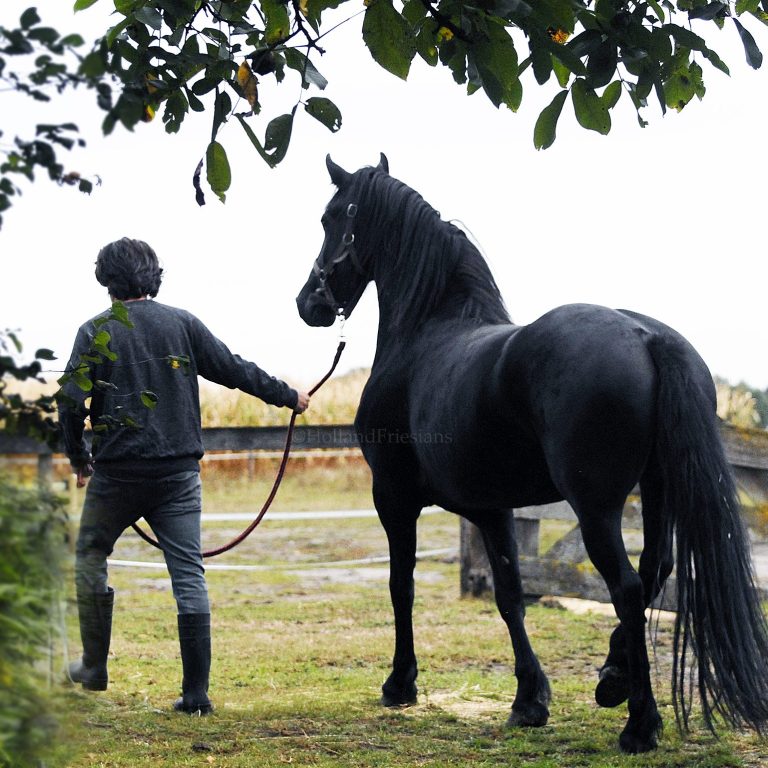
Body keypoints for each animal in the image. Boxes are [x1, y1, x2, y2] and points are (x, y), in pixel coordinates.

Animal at [295, 154, 768, 753]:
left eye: (332, 216)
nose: (308, 302)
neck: (425, 334)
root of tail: (646, 336)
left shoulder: (394, 499)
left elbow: (401, 586)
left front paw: (400, 683)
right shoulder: (492, 510)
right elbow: (511, 596)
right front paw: (529, 699)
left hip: (596, 507)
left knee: (627, 587)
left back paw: (640, 724)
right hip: (657, 491)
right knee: (654, 571)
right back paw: (613, 678)